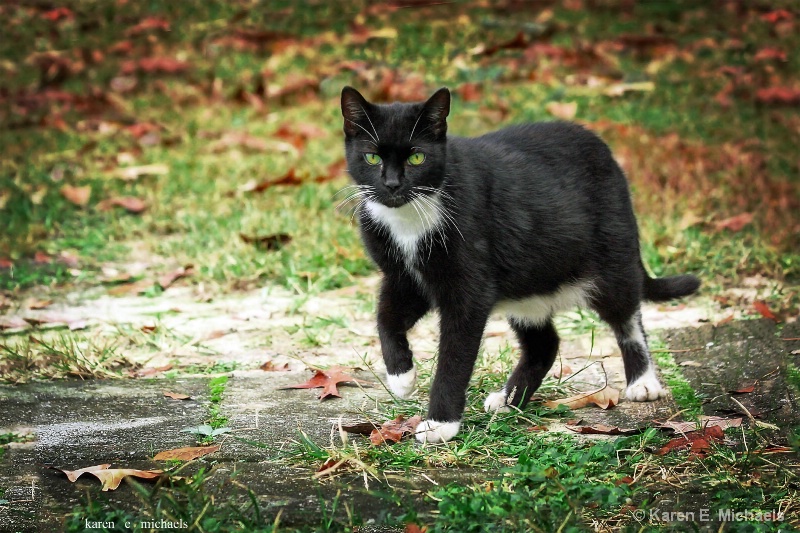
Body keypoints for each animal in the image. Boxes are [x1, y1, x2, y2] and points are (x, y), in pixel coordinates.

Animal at [340, 87, 700, 442]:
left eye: (417, 157)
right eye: (372, 157)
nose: (392, 184)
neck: (409, 222)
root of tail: (606, 153)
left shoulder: (469, 288)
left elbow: (454, 357)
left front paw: (441, 423)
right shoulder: (403, 277)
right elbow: (385, 319)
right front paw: (402, 377)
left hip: (612, 257)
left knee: (627, 317)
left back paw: (643, 381)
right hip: (527, 281)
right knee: (545, 343)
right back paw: (509, 399)